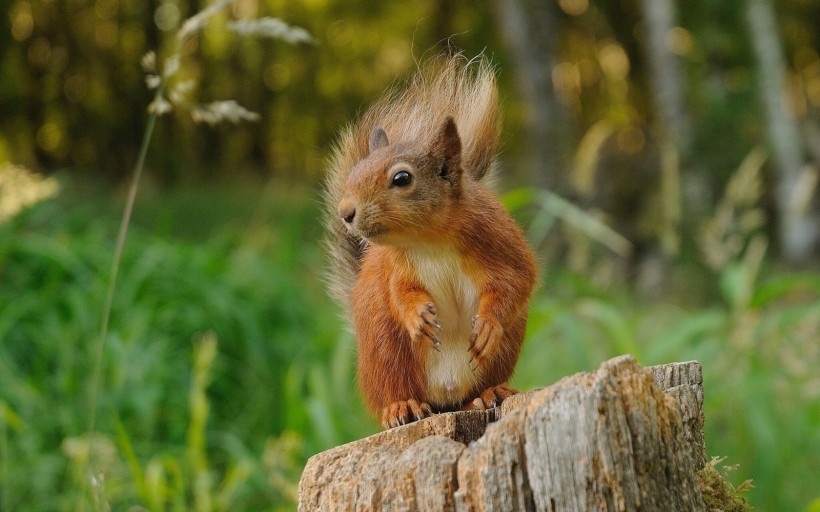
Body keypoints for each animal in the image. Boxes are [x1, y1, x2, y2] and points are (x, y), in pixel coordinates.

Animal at [324, 54, 540, 430]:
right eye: (355, 172)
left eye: (402, 178)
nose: (345, 212)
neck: (429, 240)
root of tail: (445, 396)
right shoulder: (396, 267)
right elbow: (401, 294)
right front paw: (417, 317)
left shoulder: (500, 240)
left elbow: (516, 280)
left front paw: (488, 325)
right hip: (385, 349)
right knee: (395, 389)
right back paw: (401, 407)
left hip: (502, 352)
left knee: (474, 390)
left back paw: (488, 394)